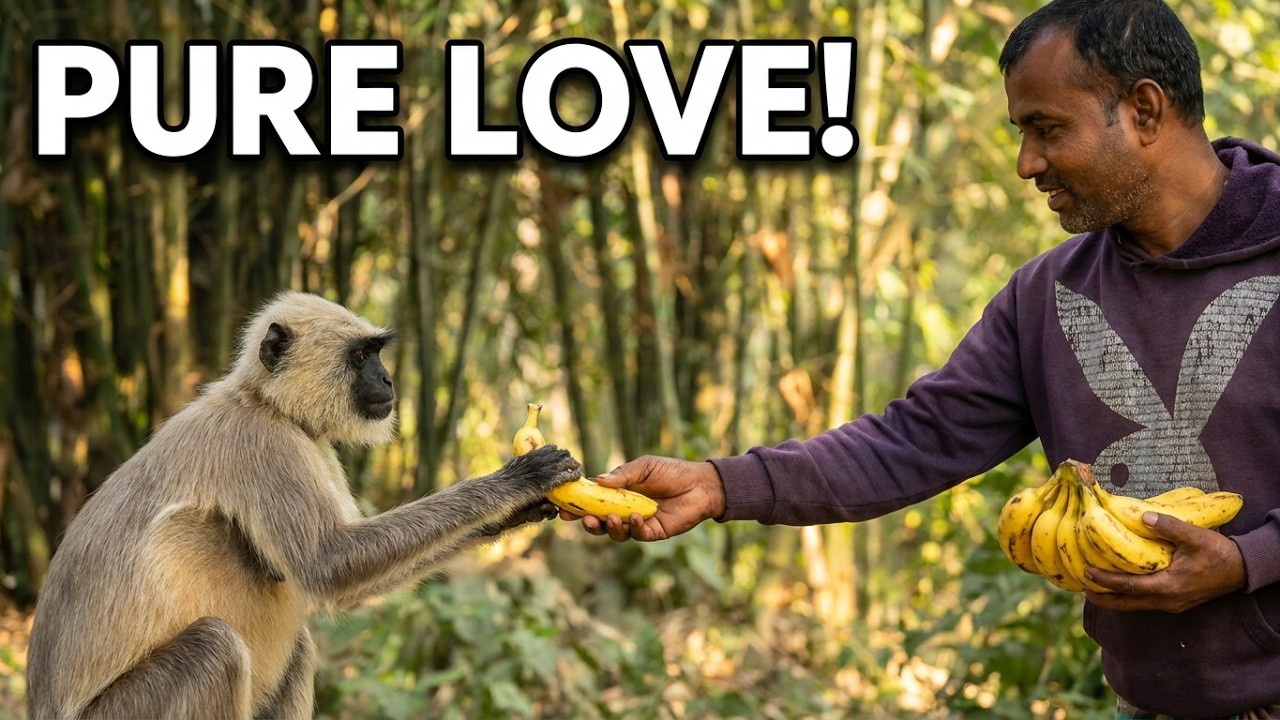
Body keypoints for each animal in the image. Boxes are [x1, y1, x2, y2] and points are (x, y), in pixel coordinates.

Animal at [25, 291, 581, 720]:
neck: (263, 403)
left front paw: (518, 512)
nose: (388, 382)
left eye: (376, 354)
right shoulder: (263, 446)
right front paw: (516, 481)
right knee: (215, 648)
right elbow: (331, 564)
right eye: (360, 358)